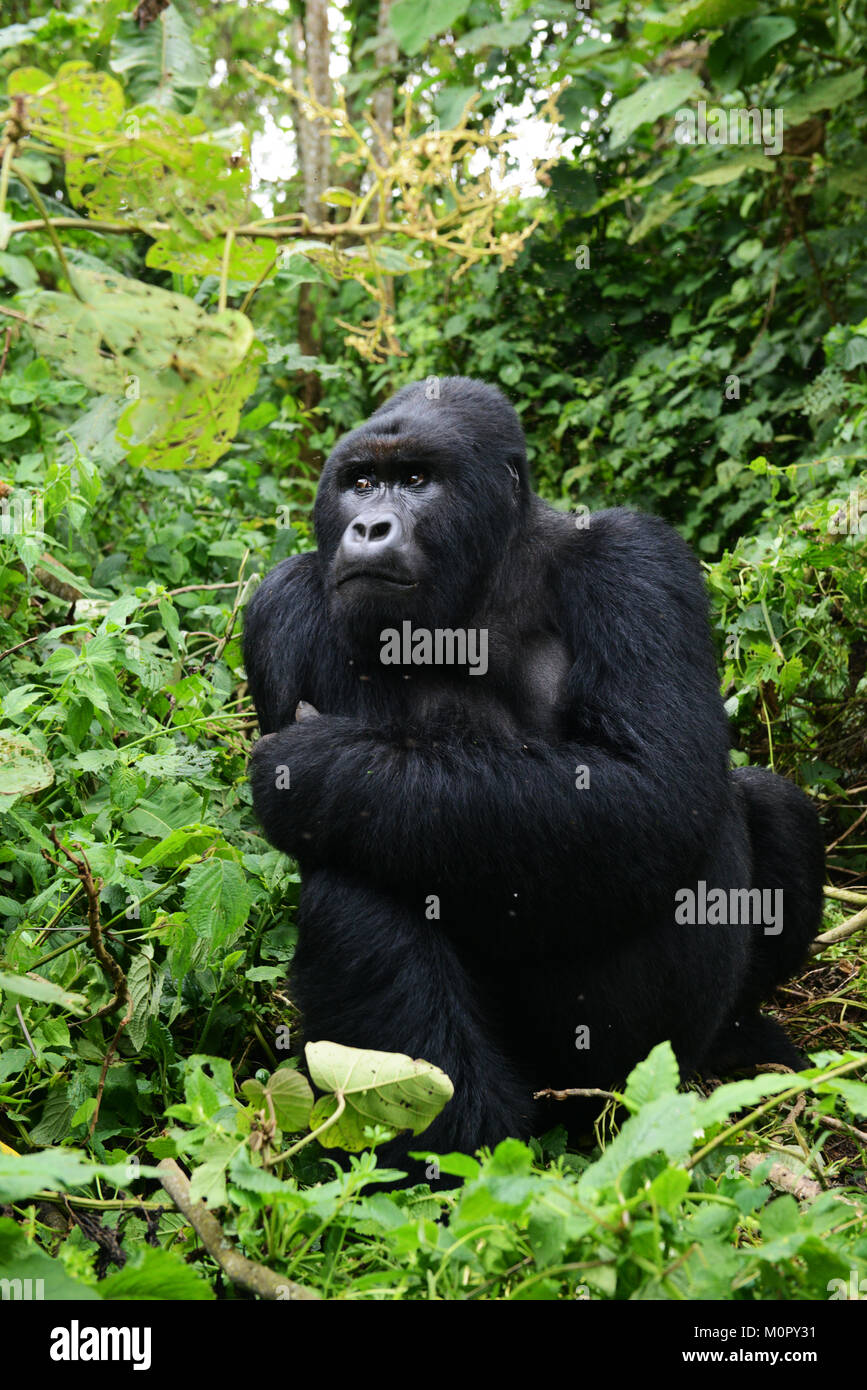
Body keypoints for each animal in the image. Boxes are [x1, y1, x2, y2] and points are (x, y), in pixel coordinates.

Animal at [240, 375, 822, 1167]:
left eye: (415, 480)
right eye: (359, 483)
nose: (368, 529)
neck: (485, 579)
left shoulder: (634, 556)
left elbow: (652, 785)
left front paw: (316, 764)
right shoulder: (285, 600)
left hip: (625, 1070)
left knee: (764, 805)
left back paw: (733, 1040)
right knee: (355, 888)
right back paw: (466, 1148)